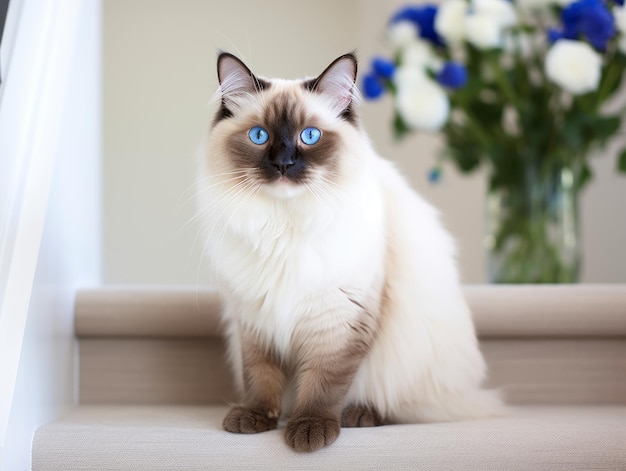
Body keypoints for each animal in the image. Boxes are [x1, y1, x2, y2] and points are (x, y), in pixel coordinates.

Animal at [200, 51, 502, 454]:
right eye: (259, 136)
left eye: (309, 136)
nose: (283, 164)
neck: (285, 225)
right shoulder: (254, 319)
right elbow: (261, 377)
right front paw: (257, 418)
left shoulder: (339, 322)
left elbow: (324, 384)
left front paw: (309, 430)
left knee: (399, 406)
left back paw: (358, 415)